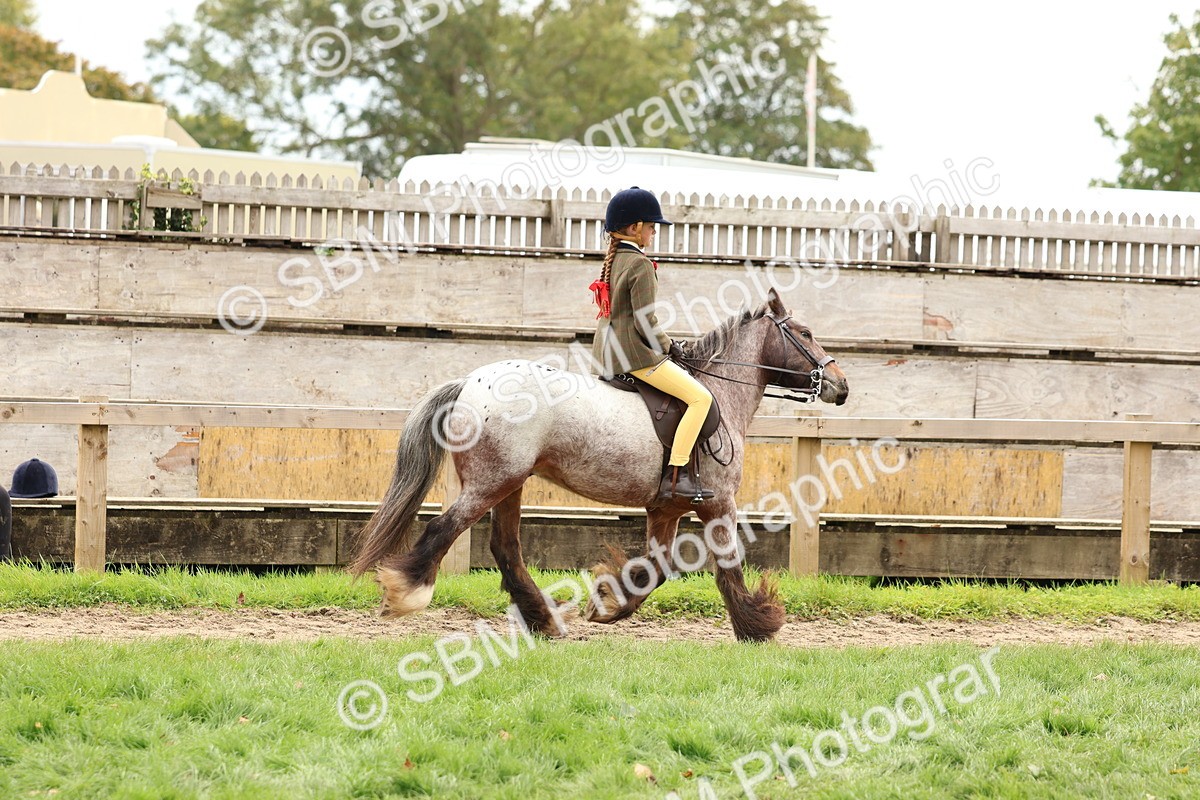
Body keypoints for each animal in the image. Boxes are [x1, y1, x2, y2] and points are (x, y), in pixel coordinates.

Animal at [350, 288, 849, 642]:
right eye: (805, 333)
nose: (841, 385)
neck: (721, 392)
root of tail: (469, 382)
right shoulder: (718, 503)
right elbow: (728, 565)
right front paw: (758, 624)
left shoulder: (666, 509)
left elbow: (658, 568)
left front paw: (608, 602)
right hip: (492, 482)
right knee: (444, 530)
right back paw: (405, 593)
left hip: (510, 484)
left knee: (505, 547)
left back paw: (543, 619)